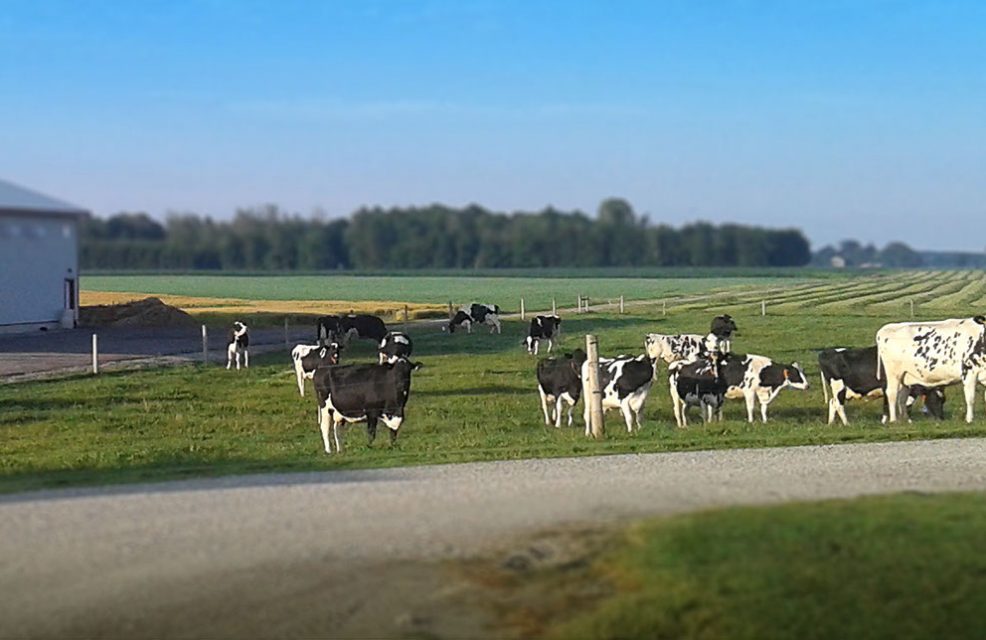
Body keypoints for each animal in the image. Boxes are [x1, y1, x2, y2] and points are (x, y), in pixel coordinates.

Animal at [818, 346, 946, 425]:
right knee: (838, 405)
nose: (942, 419)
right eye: (937, 398)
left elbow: (901, 404)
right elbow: (889, 405)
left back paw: (830, 423)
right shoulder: (888, 388)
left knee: (832, 402)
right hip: (838, 386)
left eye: (944, 399)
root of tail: (826, 352)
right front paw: (888, 422)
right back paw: (847, 424)